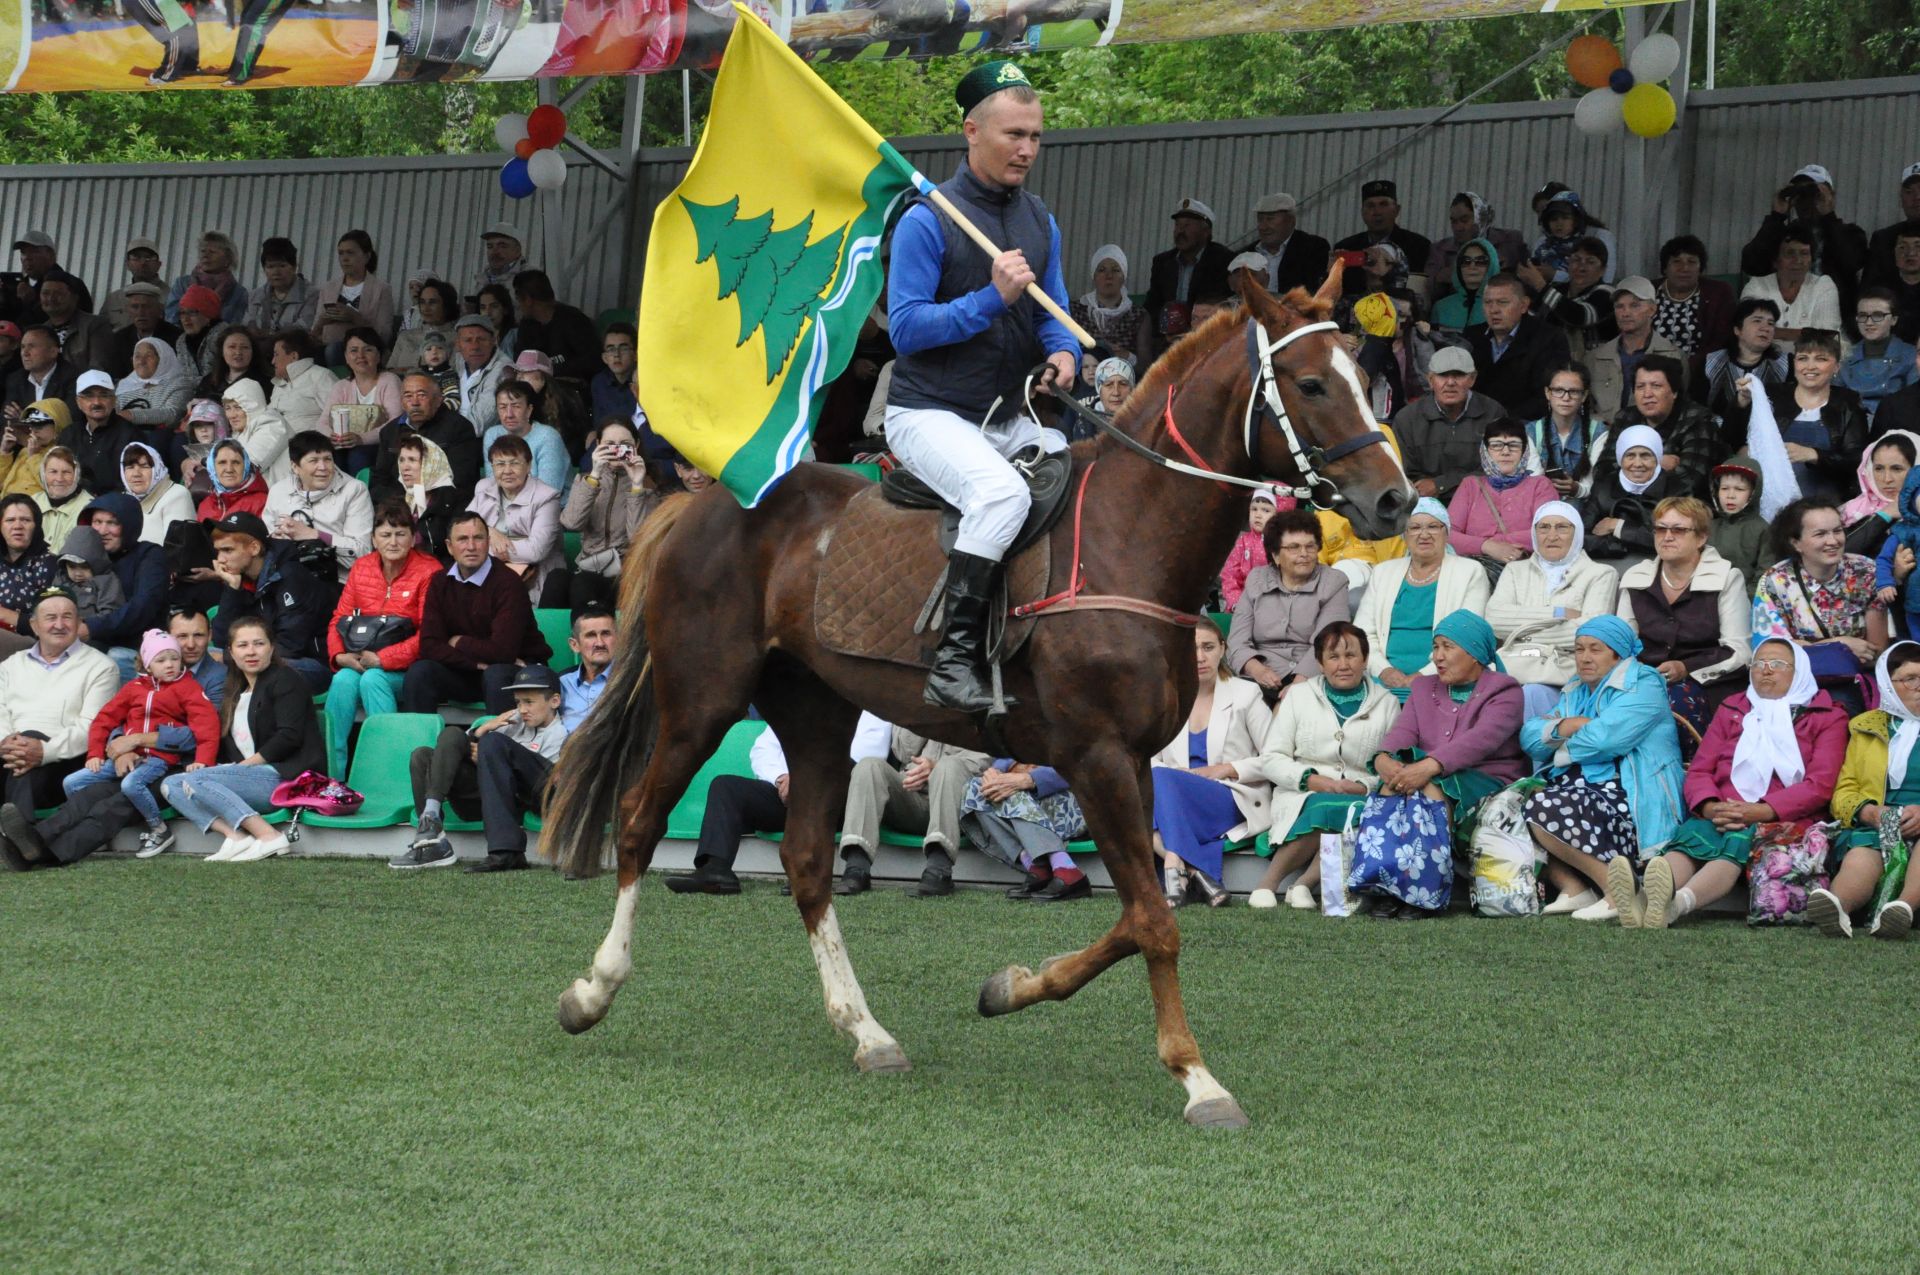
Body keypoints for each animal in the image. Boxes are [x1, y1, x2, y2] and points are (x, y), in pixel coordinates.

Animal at [541, 266, 1413, 1129]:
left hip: (816, 710)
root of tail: (701, 501)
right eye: (1310, 383)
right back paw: (591, 990)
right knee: (639, 820)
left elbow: (1132, 917)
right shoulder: (1097, 757)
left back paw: (867, 1030)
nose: (1395, 502)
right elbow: (1153, 922)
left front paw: (1013, 987)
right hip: (701, 700)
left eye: (1363, 375)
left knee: (807, 859)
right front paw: (1197, 1078)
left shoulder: (1130, 763)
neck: (1128, 539)